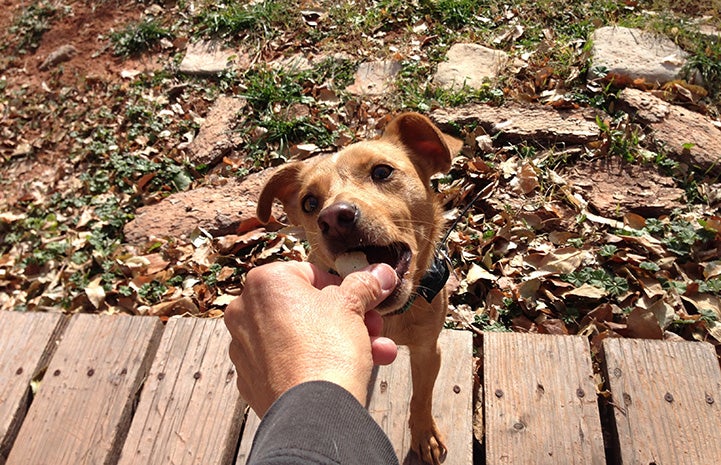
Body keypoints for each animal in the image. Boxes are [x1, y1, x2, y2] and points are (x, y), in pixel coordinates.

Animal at [258, 112, 462, 464]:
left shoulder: (428, 349)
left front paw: (424, 434)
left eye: (382, 171)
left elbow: (421, 396)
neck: (393, 316)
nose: (334, 218)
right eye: (310, 202)